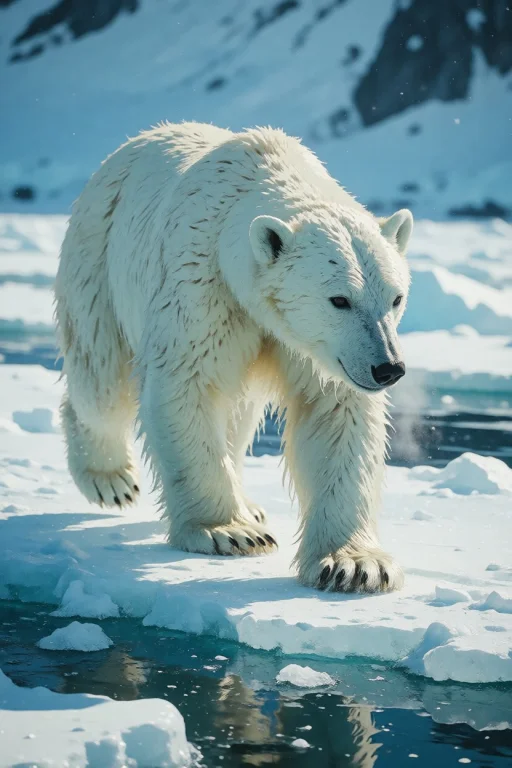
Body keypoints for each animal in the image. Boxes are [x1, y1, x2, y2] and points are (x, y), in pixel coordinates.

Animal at [54, 121, 413, 593]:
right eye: (339, 299)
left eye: (396, 298)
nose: (388, 368)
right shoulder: (203, 288)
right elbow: (184, 385)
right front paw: (230, 532)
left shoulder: (313, 352)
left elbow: (336, 412)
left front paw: (354, 565)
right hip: (98, 259)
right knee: (101, 382)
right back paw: (110, 479)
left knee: (238, 415)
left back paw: (251, 503)